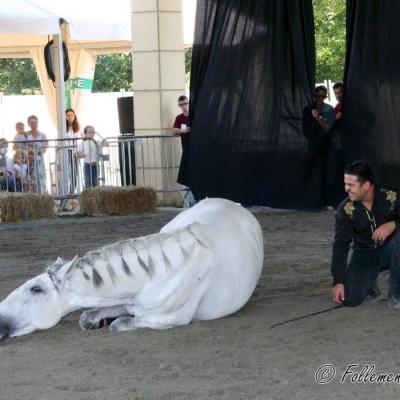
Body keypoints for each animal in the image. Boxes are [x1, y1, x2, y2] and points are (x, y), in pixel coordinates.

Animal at [0, 198, 262, 342]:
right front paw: (97, 320)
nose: (0, 317)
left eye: (35, 289)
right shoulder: (127, 301)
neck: (154, 275)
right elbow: (89, 317)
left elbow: (119, 324)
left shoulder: (170, 318)